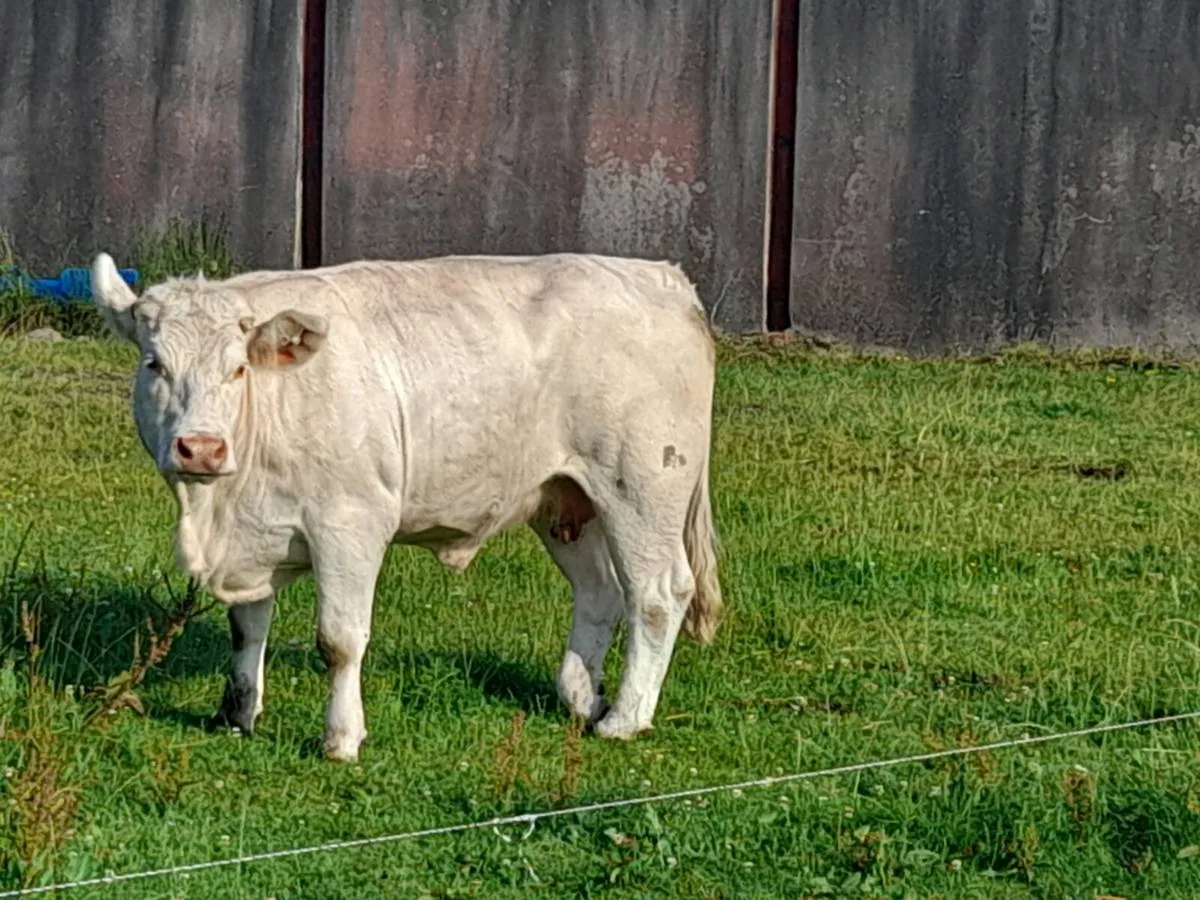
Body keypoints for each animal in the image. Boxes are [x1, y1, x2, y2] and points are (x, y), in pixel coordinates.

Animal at [91, 251, 722, 762]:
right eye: (154, 364)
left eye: (238, 368)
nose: (201, 447)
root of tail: (661, 277)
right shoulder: (256, 532)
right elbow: (247, 627)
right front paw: (236, 715)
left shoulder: (351, 523)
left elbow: (339, 639)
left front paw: (342, 738)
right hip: (566, 499)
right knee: (599, 591)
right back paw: (581, 697)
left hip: (641, 487)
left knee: (658, 594)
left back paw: (626, 718)